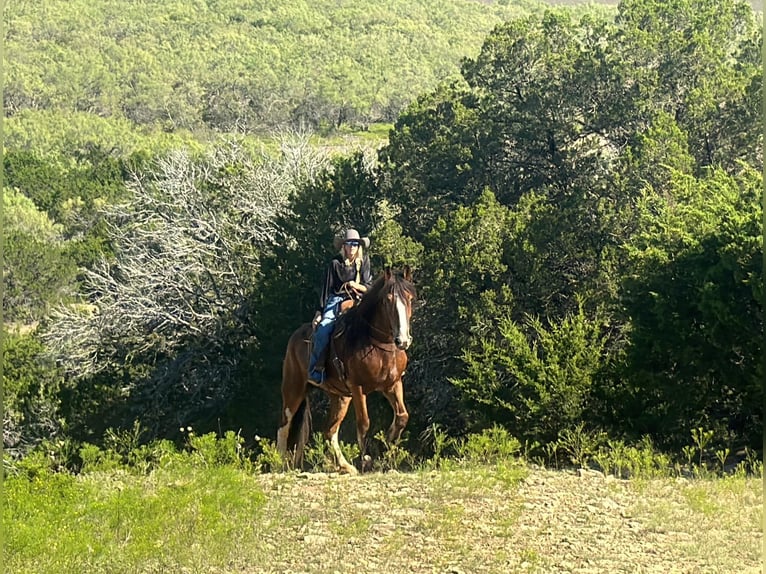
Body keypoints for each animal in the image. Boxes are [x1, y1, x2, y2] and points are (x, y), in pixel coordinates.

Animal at [278, 268, 416, 474]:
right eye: (387, 299)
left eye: (409, 298)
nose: (403, 340)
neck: (376, 344)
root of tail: (295, 337)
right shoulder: (357, 387)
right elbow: (364, 422)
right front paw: (366, 459)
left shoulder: (392, 384)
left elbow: (402, 416)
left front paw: (387, 445)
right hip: (293, 389)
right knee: (284, 426)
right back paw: (278, 463)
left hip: (340, 397)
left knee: (329, 431)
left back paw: (345, 466)